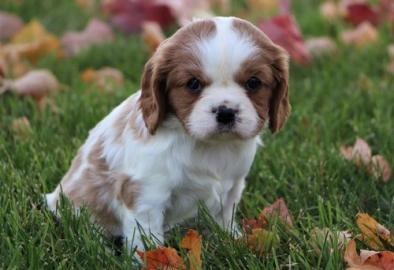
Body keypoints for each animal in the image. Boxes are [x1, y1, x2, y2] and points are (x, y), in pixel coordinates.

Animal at [45, 16, 290, 249]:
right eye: (193, 84)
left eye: (253, 83)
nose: (226, 112)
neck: (208, 146)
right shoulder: (147, 195)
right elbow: (147, 240)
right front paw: (154, 257)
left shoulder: (231, 189)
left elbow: (224, 220)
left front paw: (232, 241)